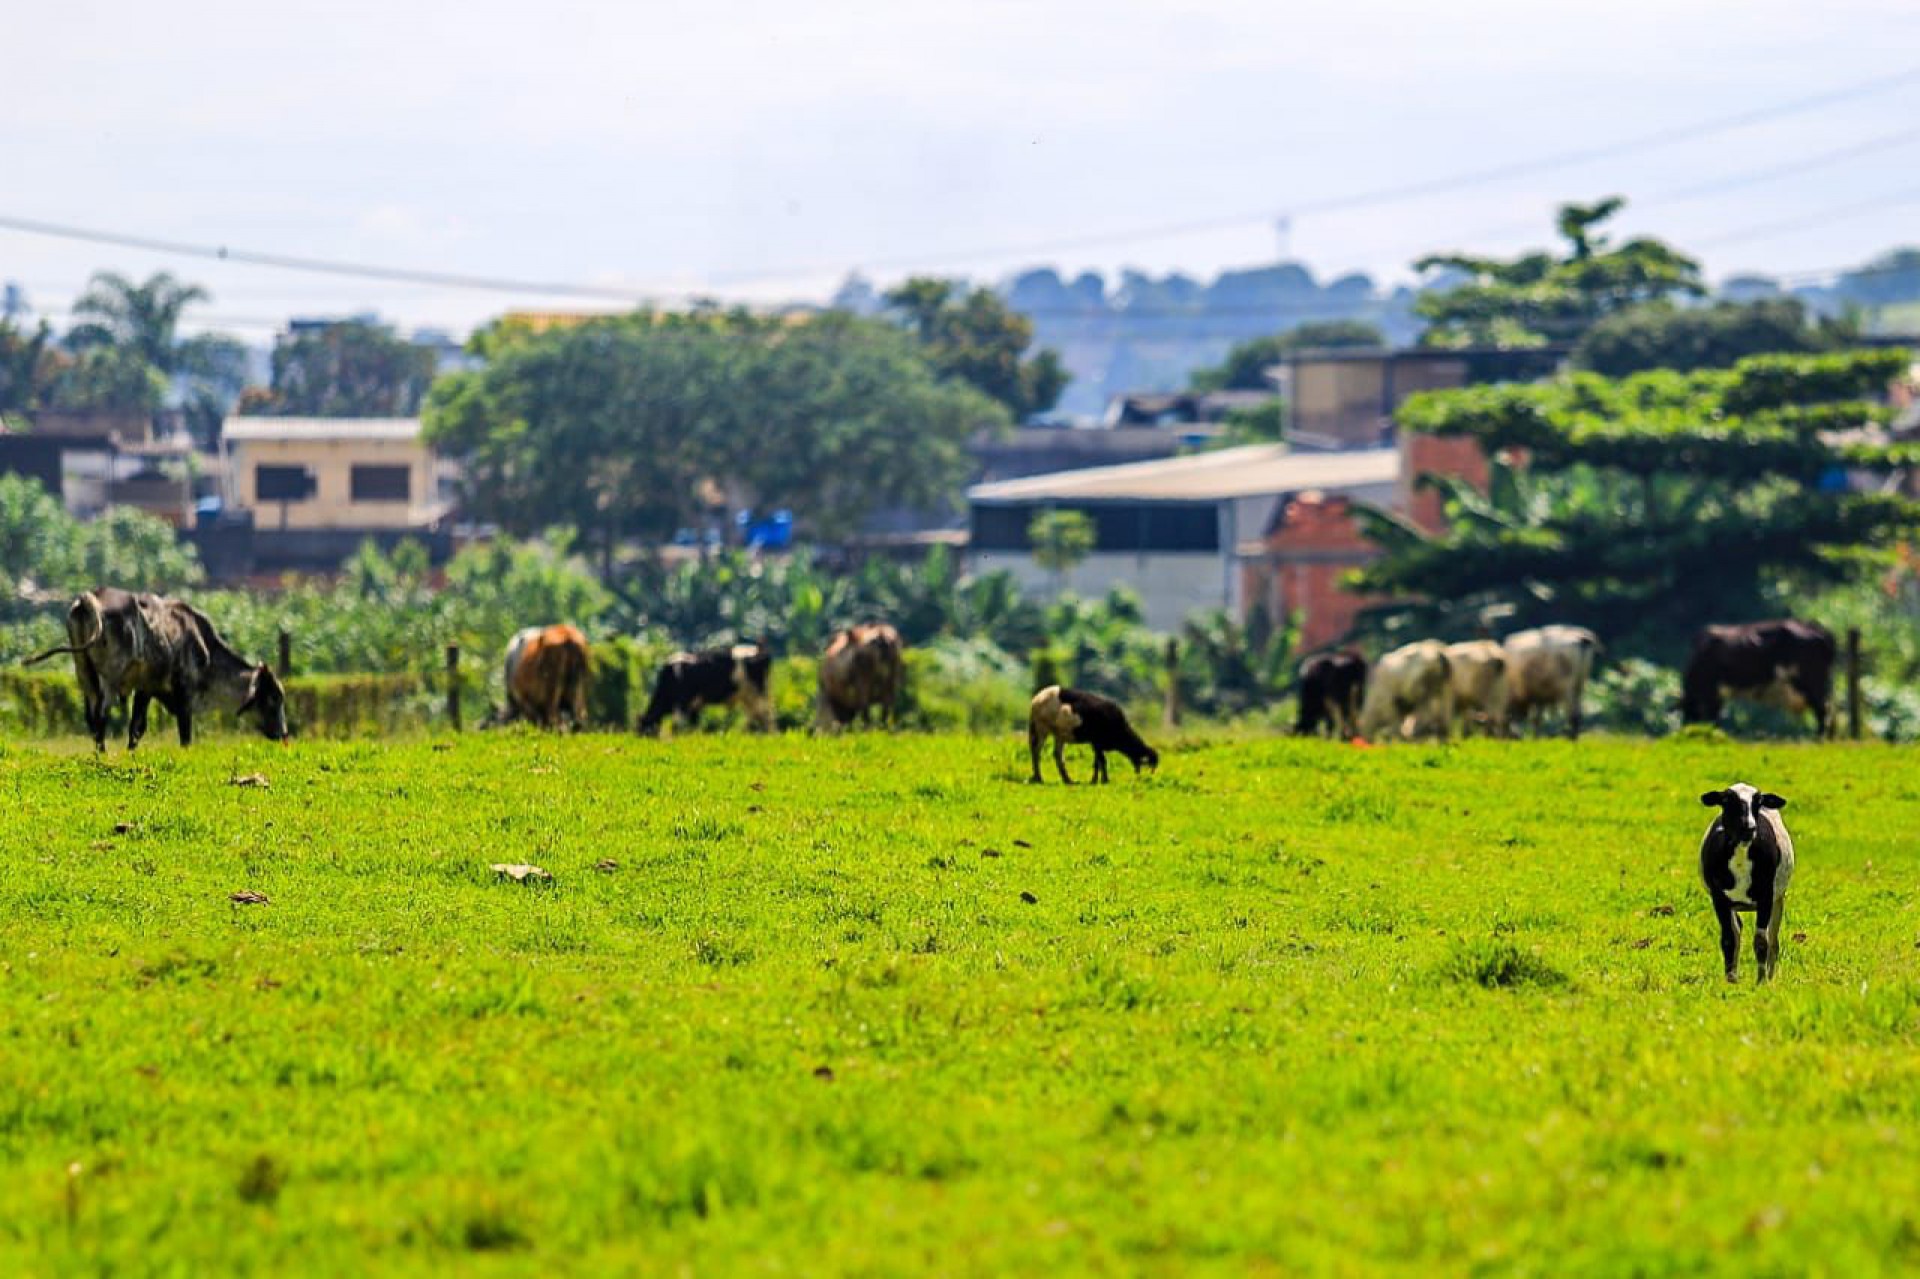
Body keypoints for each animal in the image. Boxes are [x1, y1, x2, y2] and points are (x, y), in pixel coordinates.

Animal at [24, 583, 288, 748]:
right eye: (274, 697)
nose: (284, 734)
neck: (205, 650)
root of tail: (91, 598)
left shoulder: (146, 689)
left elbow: (136, 729)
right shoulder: (184, 695)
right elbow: (185, 736)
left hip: (84, 672)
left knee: (91, 718)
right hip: (109, 678)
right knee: (101, 715)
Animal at [637, 641, 771, 733]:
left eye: (643, 730)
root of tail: (759, 651)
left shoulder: (682, 703)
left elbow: (679, 725)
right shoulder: (694, 706)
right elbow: (693, 726)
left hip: (757, 693)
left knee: (766, 714)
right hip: (747, 696)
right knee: (756, 715)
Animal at [1704, 783, 1789, 979]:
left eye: (1758, 802)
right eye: (1726, 800)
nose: (1748, 827)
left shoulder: (1767, 896)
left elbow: (1761, 941)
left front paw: (1762, 981)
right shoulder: (1719, 897)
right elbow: (1728, 939)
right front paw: (1730, 980)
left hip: (1778, 899)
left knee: (1773, 941)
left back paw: (1770, 976)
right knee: (1736, 931)